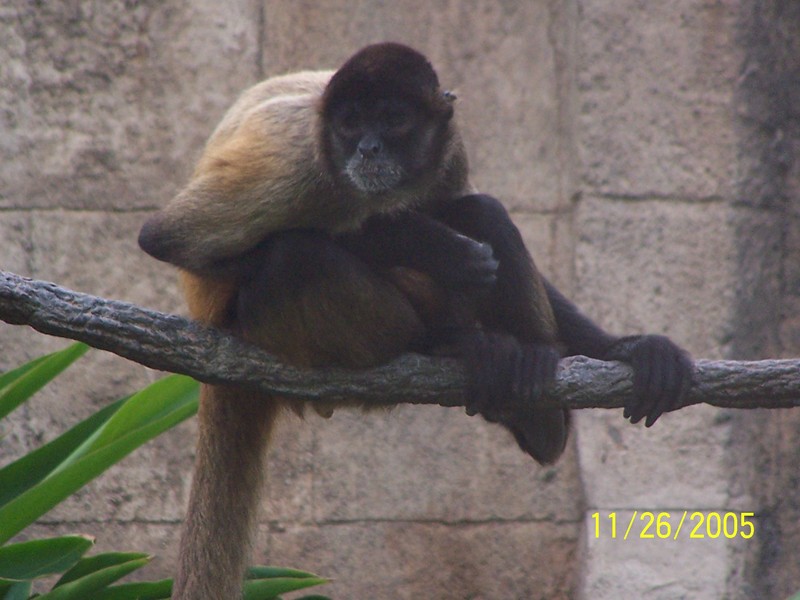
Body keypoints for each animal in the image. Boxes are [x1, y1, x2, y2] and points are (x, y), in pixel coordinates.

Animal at [139, 43, 692, 600]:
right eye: (351, 123)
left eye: (393, 119)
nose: (367, 149)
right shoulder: (298, 168)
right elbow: (166, 239)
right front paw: (425, 243)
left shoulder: (451, 147)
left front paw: (625, 347)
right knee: (296, 255)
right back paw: (447, 342)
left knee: (481, 210)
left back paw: (537, 407)